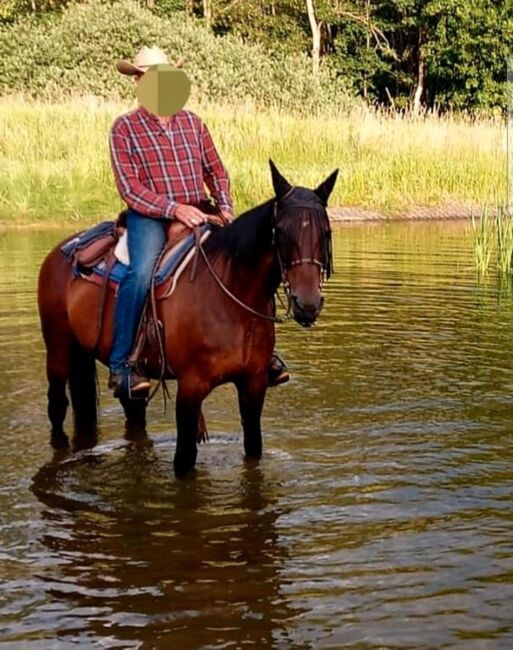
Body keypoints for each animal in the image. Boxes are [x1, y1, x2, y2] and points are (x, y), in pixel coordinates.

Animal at [38, 161, 338, 476]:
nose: (307, 304)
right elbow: (184, 459)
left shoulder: (254, 385)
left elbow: (253, 449)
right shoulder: (190, 388)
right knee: (57, 406)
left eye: (326, 232)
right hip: (58, 350)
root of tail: (63, 249)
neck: (231, 296)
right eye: (279, 231)